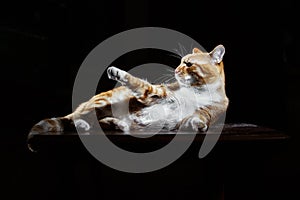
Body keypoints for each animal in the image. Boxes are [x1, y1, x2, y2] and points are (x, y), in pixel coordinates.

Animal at [29, 44, 229, 137]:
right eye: (180, 62)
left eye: (188, 64)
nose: (175, 70)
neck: (198, 90)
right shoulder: (157, 94)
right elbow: (138, 82)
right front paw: (117, 72)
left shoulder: (207, 112)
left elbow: (197, 118)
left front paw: (198, 124)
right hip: (104, 101)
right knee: (74, 118)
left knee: (95, 121)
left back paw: (116, 124)